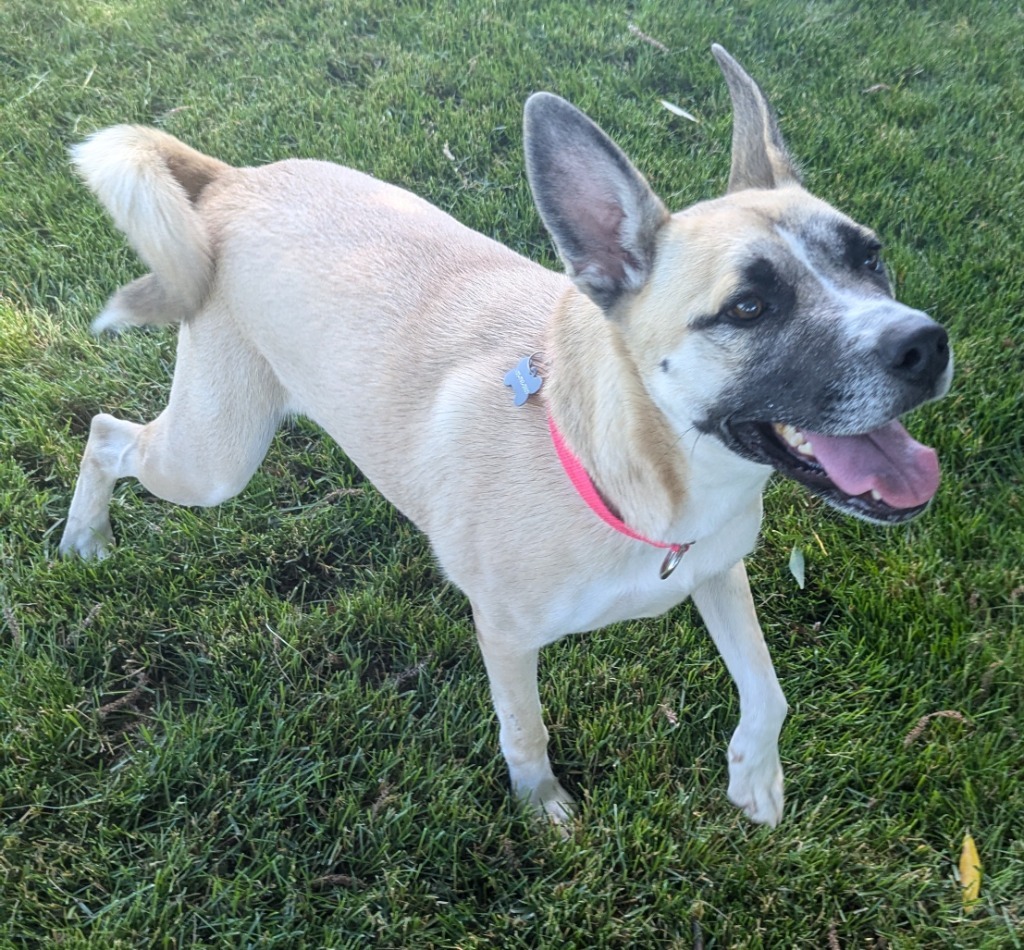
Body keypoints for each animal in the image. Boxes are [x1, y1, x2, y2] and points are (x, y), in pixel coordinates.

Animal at [59, 48, 946, 827]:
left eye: (871, 258)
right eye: (749, 308)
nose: (925, 346)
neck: (635, 476)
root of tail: (231, 181)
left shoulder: (719, 570)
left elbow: (769, 688)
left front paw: (755, 776)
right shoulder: (508, 636)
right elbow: (526, 729)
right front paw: (542, 807)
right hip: (214, 460)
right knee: (107, 434)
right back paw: (85, 537)